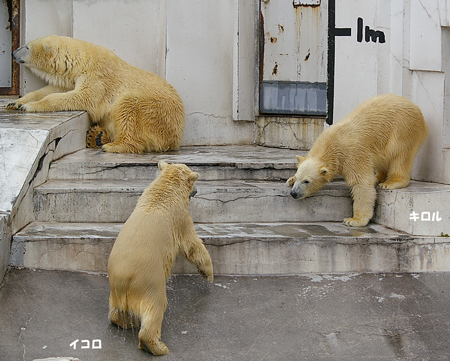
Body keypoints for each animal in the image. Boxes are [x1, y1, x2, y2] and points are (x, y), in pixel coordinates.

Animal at [6, 36, 185, 153]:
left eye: (26, 47)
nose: (13, 53)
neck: (82, 60)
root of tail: (176, 139)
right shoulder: (71, 78)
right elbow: (52, 89)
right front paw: (16, 103)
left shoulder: (97, 76)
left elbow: (82, 97)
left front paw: (29, 106)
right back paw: (96, 136)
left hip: (157, 112)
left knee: (128, 105)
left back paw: (113, 145)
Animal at [109, 161, 214, 354]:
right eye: (194, 181)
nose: (197, 191)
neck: (164, 191)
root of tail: (123, 280)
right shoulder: (180, 218)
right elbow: (191, 244)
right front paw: (207, 273)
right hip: (149, 282)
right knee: (156, 308)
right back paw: (157, 346)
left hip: (115, 291)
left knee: (117, 311)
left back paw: (126, 323)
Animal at [288, 94, 428, 226]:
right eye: (298, 177)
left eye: (307, 181)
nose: (293, 193)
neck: (331, 143)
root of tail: (415, 107)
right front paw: (290, 180)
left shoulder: (352, 154)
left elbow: (362, 182)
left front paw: (354, 220)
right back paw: (378, 177)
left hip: (403, 129)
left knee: (400, 156)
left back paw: (390, 182)